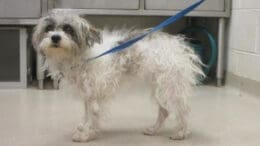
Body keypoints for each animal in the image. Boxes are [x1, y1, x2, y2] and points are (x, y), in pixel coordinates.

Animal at [32, 12, 203, 143]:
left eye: (68, 29)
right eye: (49, 28)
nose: (55, 37)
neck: (81, 56)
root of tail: (178, 45)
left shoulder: (93, 97)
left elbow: (93, 116)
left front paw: (86, 135)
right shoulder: (88, 95)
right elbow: (86, 114)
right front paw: (83, 127)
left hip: (170, 87)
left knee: (182, 110)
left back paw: (181, 132)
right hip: (160, 88)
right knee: (165, 111)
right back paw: (153, 130)